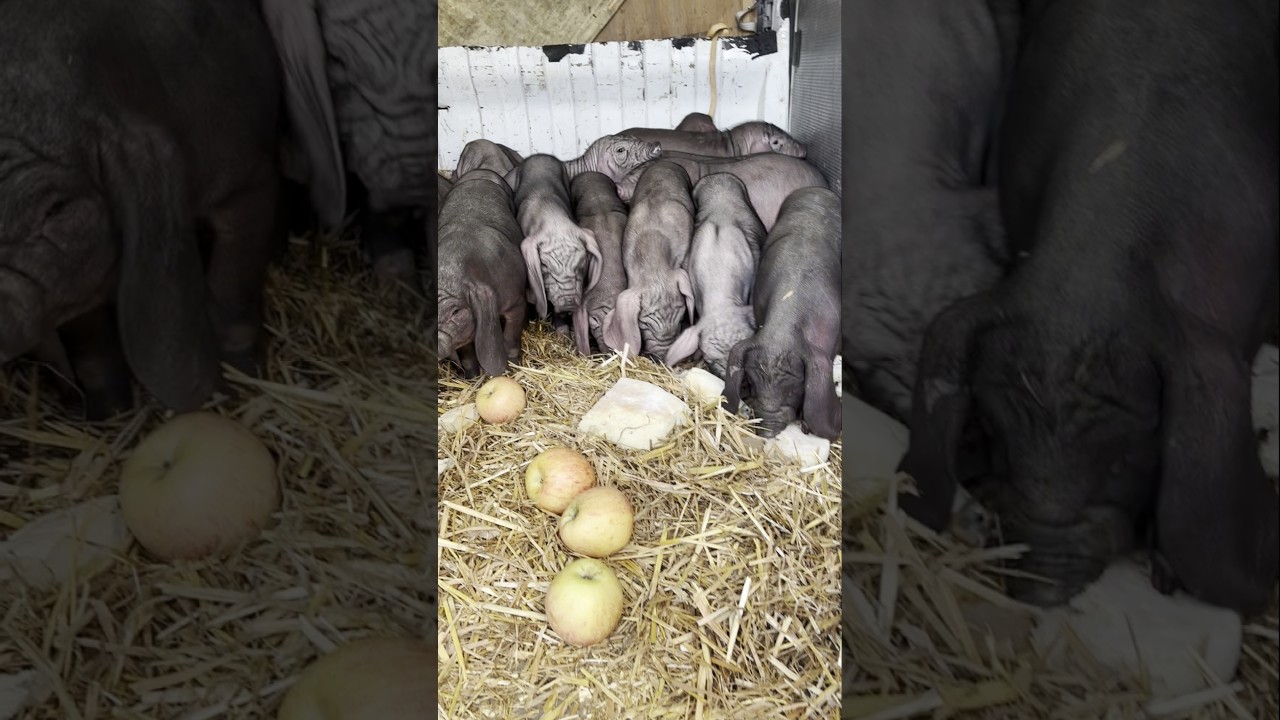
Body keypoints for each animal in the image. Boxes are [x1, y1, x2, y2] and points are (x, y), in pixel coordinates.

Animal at [0, 0, 283, 420]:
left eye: (56, 210)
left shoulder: (249, 181)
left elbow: (231, 293)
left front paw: (242, 379)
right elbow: (91, 347)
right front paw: (107, 416)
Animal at [436, 169, 527, 378]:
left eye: (455, 312)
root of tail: (481, 172)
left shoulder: (517, 301)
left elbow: (511, 338)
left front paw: (512, 367)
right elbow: (467, 354)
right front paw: (471, 377)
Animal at [508, 155, 603, 331]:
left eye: (582, 264)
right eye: (545, 266)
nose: (569, 304)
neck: (553, 219)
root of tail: (540, 155)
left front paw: (562, 330)